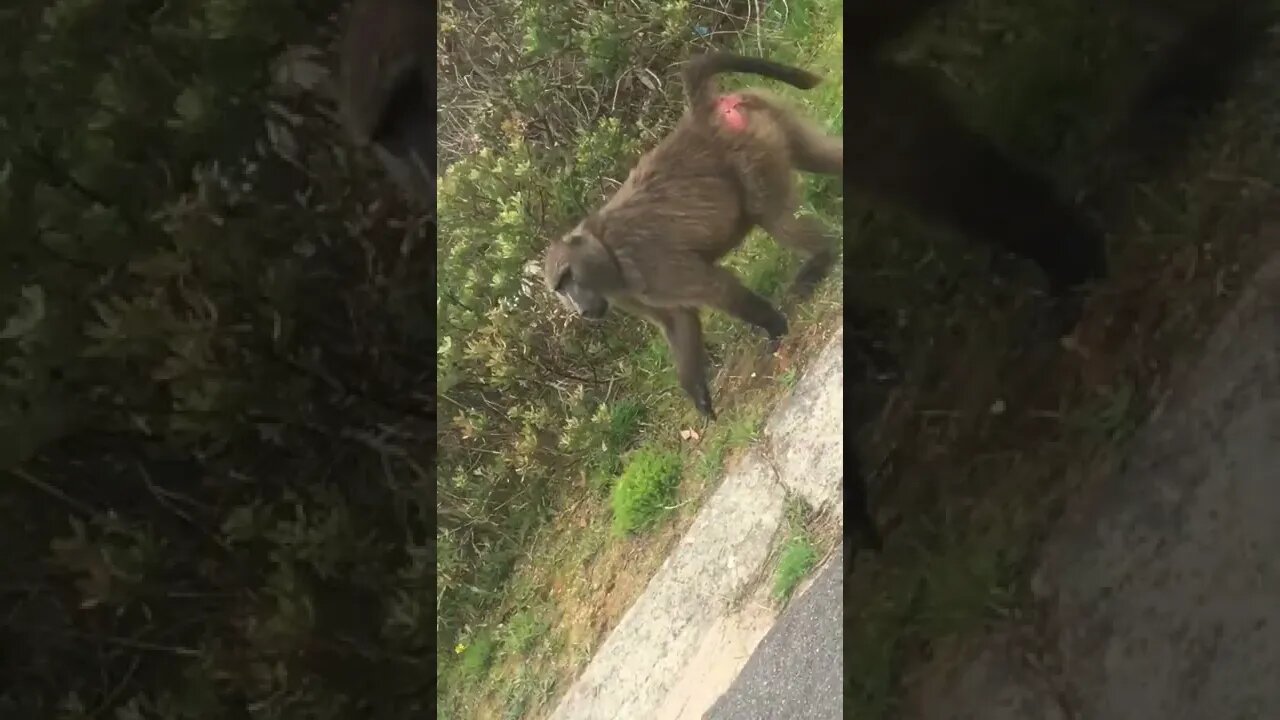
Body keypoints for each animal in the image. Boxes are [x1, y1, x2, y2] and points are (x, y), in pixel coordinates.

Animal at [542, 53, 845, 419]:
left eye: (569, 278)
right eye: (560, 289)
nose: (579, 309)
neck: (605, 251)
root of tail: (700, 113)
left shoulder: (647, 263)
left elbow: (715, 288)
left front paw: (775, 328)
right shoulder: (627, 294)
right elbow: (679, 321)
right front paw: (698, 396)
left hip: (749, 150)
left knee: (771, 216)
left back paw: (821, 258)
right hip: (767, 121)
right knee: (819, 158)